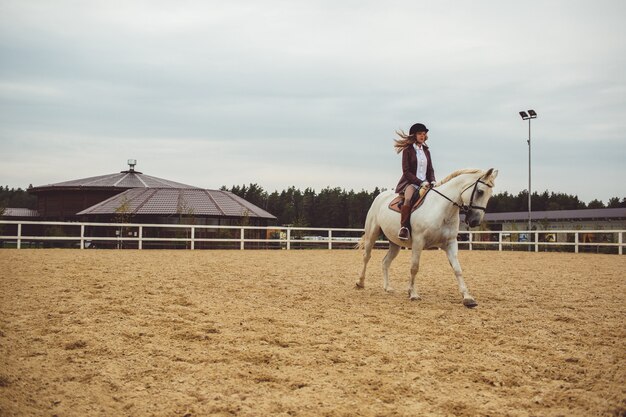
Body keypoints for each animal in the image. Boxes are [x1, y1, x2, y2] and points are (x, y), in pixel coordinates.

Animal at [356, 167, 498, 308]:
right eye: (480, 191)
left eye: (490, 195)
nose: (475, 221)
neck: (442, 209)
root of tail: (380, 196)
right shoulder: (418, 242)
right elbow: (414, 267)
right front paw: (413, 293)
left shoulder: (451, 244)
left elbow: (457, 269)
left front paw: (468, 297)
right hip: (372, 234)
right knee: (366, 257)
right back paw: (360, 283)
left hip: (395, 243)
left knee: (385, 262)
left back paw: (387, 287)